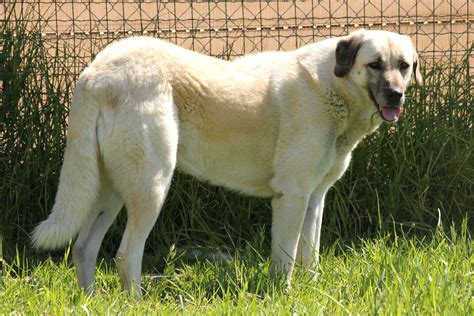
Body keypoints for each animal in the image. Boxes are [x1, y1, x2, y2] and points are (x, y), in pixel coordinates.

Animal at [34, 28, 422, 296]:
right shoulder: (291, 197)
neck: (333, 87)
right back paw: (135, 303)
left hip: (112, 188)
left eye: (404, 66)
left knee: (84, 247)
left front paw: (312, 293)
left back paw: (92, 301)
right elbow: (285, 259)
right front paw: (284, 297)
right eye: (374, 65)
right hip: (152, 185)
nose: (396, 95)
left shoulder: (314, 198)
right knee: (126, 254)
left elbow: (308, 256)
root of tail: (94, 72)